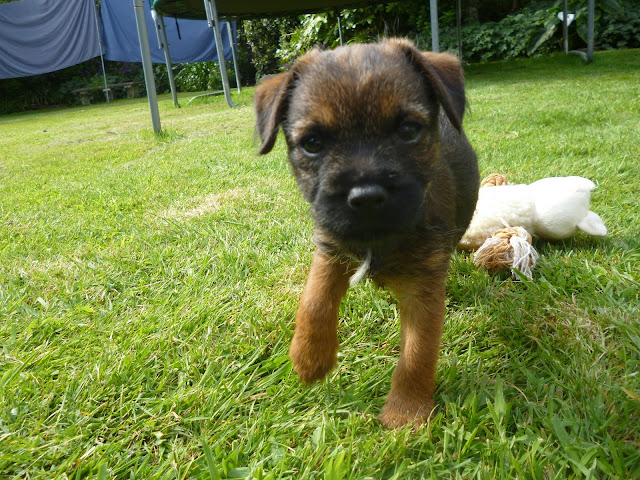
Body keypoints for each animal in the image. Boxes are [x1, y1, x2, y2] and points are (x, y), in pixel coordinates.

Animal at [255, 38, 480, 428]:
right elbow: (313, 299)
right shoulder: (330, 247)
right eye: (312, 143)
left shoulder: (424, 289)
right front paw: (309, 357)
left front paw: (405, 412)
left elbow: (418, 352)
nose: (366, 196)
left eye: (408, 131)